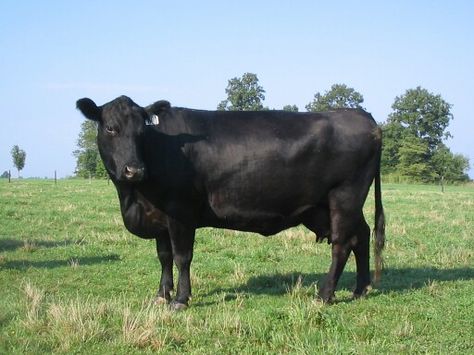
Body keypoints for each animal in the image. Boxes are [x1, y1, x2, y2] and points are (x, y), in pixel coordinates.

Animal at [75, 96, 386, 310]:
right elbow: (164, 257)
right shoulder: (159, 216)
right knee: (361, 236)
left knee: (342, 244)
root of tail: (362, 116)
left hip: (345, 196)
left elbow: (182, 257)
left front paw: (181, 299)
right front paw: (161, 295)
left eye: (142, 133)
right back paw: (361, 289)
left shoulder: (180, 211)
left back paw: (324, 294)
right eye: (111, 129)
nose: (134, 169)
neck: (134, 197)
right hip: (329, 206)